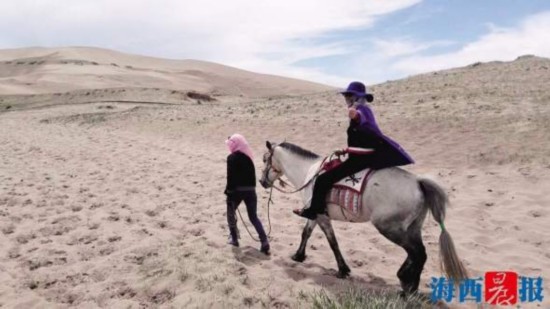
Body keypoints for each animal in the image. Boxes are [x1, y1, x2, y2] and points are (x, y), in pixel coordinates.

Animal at [260, 141, 468, 292]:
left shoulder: (321, 217)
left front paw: (342, 269)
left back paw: (407, 285)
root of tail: (418, 182)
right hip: (412, 227)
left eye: (264, 159)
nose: (261, 181)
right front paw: (299, 255)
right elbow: (306, 233)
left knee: (417, 253)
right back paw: (407, 282)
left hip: (389, 228)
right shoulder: (315, 214)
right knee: (418, 252)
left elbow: (332, 242)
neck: (310, 172)